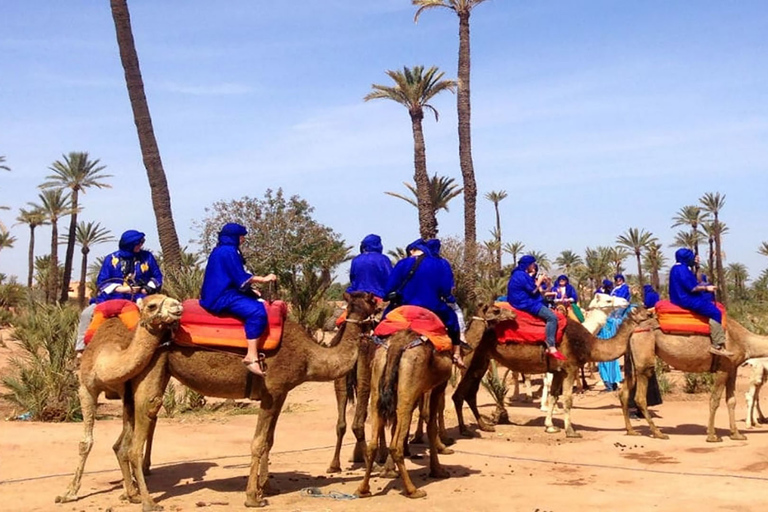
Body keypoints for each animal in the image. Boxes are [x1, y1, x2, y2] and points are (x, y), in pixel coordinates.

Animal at [54, 294, 184, 506]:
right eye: (152, 305)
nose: (177, 306)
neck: (105, 355)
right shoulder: (86, 389)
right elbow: (85, 443)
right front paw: (69, 493)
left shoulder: (126, 391)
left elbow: (126, 442)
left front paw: (130, 490)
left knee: (151, 416)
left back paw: (143, 470)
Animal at [127, 290, 380, 510]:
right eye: (374, 303)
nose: (382, 309)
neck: (309, 358)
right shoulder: (272, 391)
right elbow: (258, 443)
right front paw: (252, 497)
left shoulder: (280, 394)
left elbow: (269, 440)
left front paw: (267, 487)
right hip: (155, 364)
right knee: (140, 430)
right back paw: (148, 501)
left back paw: (131, 494)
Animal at [356, 304, 516, 500]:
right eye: (496, 310)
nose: (513, 314)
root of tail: (396, 345)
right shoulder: (439, 384)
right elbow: (432, 419)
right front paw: (439, 464)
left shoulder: (422, 388)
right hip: (408, 384)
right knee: (397, 439)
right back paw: (412, 490)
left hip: (379, 379)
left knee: (374, 436)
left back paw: (364, 488)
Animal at [452, 306, 652, 438]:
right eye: (641, 311)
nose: (651, 313)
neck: (588, 344)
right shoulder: (570, 368)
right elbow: (568, 400)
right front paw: (571, 431)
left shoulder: (558, 371)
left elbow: (554, 396)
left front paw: (550, 426)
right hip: (472, 360)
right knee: (459, 393)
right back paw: (465, 430)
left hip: (482, 360)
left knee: (468, 393)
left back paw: (483, 426)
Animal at [616, 318, 768, 442]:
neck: (745, 342)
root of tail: (634, 330)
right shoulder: (723, 368)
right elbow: (715, 400)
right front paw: (712, 436)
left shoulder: (732, 368)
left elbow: (731, 401)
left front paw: (736, 434)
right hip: (644, 354)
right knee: (640, 396)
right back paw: (658, 433)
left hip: (633, 360)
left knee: (624, 392)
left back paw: (631, 430)